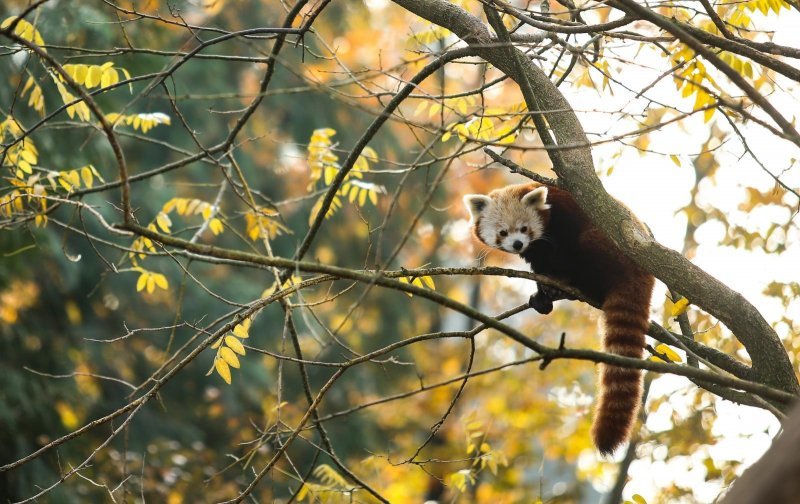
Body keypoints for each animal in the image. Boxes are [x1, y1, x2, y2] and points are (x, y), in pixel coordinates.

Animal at [466, 182, 652, 456]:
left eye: (524, 228)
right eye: (502, 232)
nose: (518, 244)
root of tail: (644, 274)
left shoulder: (564, 219)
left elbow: (565, 253)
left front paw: (558, 284)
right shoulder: (537, 252)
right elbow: (541, 268)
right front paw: (543, 295)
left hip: (609, 249)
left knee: (589, 248)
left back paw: (582, 287)